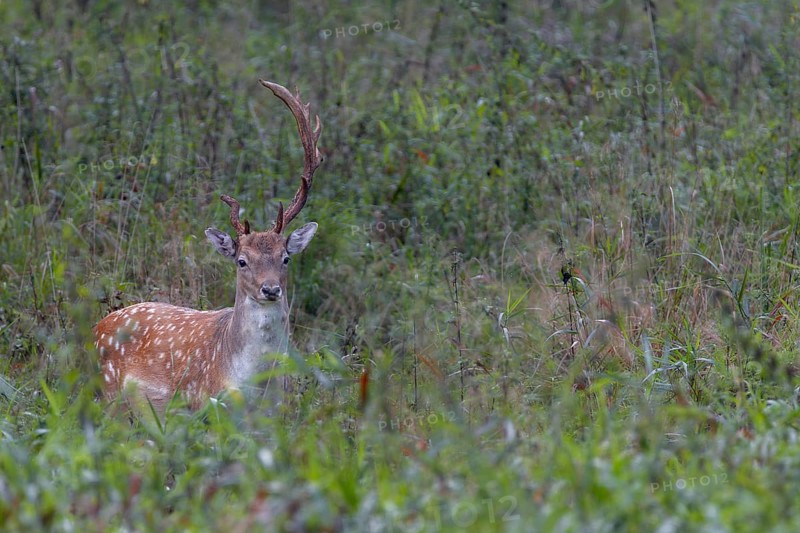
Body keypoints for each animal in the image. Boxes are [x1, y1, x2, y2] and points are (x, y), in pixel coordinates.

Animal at [93, 79, 323, 414]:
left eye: (286, 258)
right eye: (242, 260)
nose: (270, 289)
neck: (257, 387)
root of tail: (96, 328)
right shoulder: (206, 403)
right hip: (108, 395)